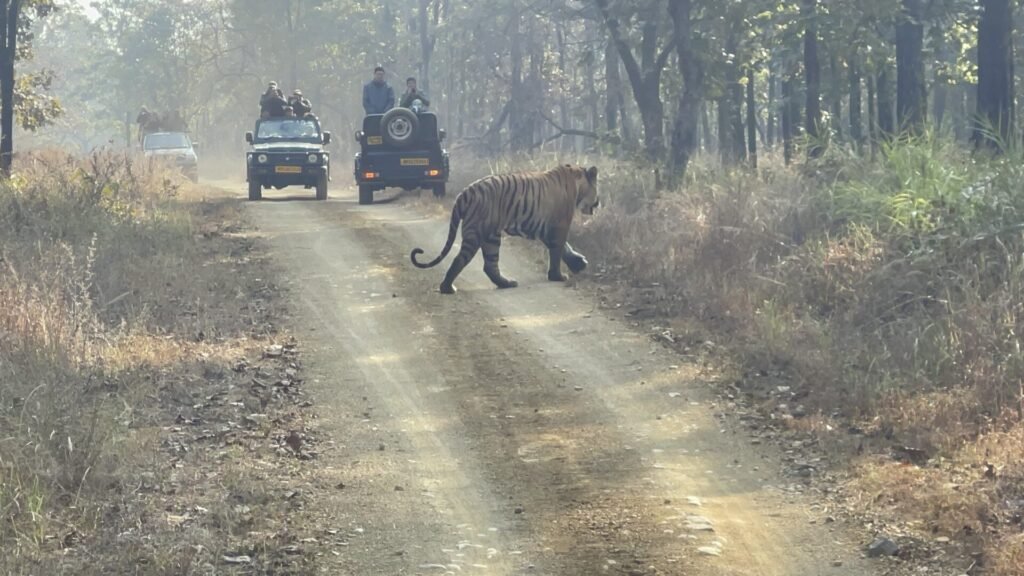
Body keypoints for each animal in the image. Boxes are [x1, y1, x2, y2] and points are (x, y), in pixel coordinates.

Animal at [409, 163, 598, 293]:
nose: (599, 202)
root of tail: (465, 192)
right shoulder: (559, 225)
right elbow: (558, 251)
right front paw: (557, 276)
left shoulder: (545, 229)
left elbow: (565, 248)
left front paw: (578, 263)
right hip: (477, 233)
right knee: (460, 259)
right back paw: (447, 288)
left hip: (491, 237)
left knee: (489, 265)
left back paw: (506, 283)